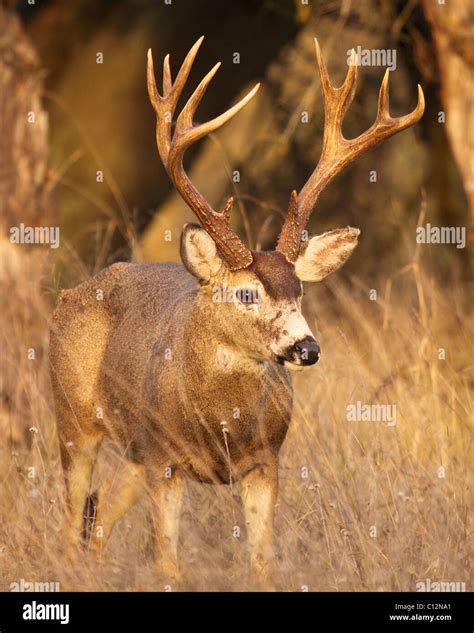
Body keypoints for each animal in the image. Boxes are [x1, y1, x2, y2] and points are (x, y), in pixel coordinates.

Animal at [50, 37, 424, 584]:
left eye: (300, 290)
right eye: (247, 293)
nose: (307, 348)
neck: (220, 427)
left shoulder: (265, 462)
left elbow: (262, 563)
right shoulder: (164, 460)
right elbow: (167, 566)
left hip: (133, 456)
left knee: (95, 528)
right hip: (74, 422)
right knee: (71, 524)